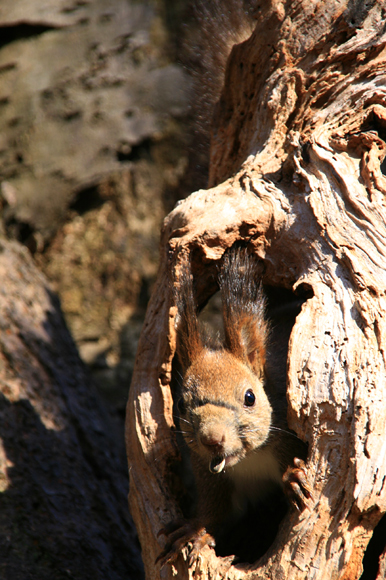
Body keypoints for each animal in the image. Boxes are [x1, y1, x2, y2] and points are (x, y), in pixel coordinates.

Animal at [158, 248, 314, 568]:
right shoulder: (209, 476)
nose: (212, 439)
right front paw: (194, 530)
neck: (248, 460)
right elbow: (218, 513)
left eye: (250, 397)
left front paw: (293, 477)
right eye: (180, 403)